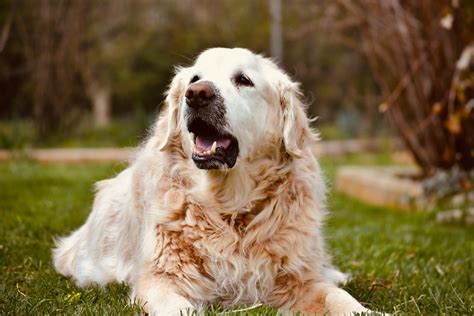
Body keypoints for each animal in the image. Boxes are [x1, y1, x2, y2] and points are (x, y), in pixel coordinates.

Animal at [52, 47, 370, 314]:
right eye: (195, 78)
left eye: (243, 80)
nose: (197, 94)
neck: (230, 208)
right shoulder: (161, 281)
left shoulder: (299, 279)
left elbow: (339, 298)